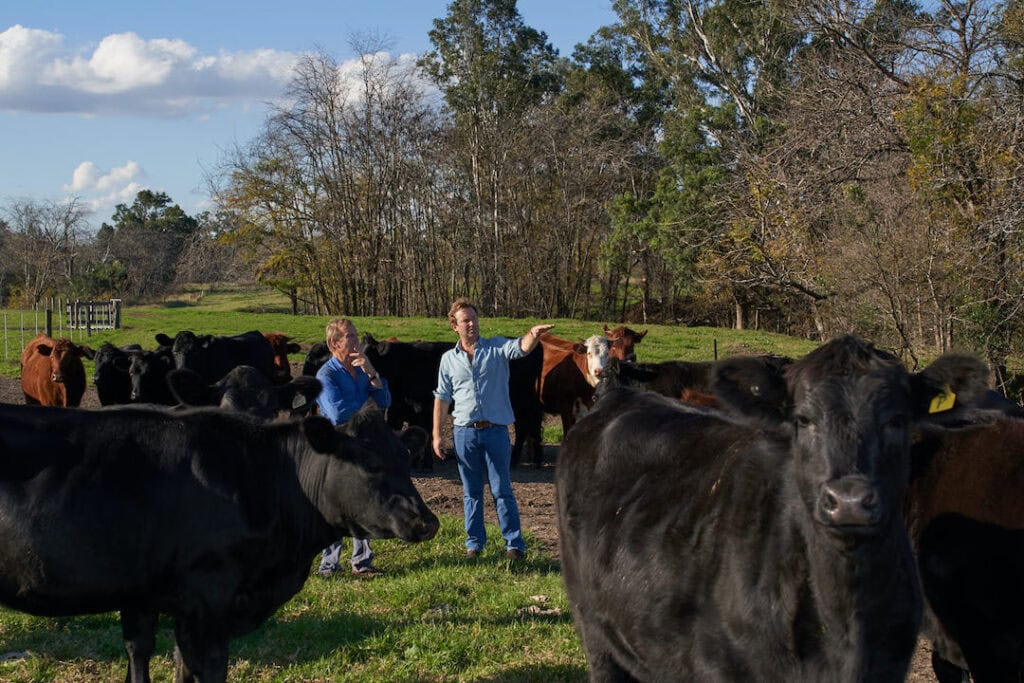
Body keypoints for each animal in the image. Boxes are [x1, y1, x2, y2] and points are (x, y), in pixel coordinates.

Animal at [0, 403, 436, 683]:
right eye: (372, 465)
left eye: (406, 458)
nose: (427, 521)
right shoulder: (208, 603)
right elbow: (203, 668)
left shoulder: (147, 595)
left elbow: (147, 657)